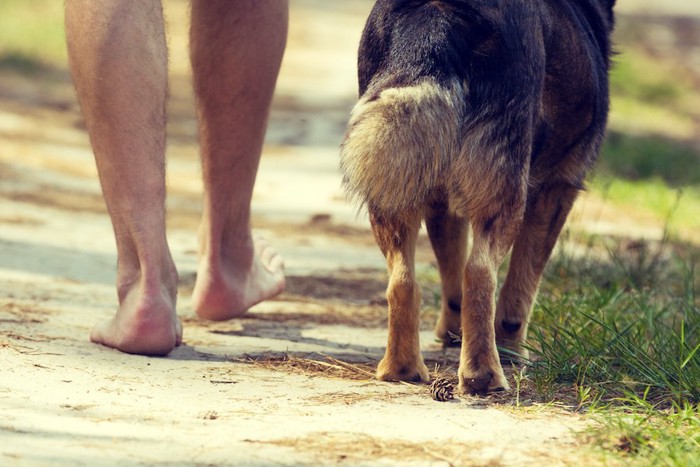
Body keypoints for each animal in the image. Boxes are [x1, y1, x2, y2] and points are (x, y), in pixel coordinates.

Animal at [342, 0, 616, 394]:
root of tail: (441, 15)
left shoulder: (441, 201)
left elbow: (450, 270)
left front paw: (453, 331)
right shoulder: (557, 189)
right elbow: (521, 286)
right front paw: (513, 349)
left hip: (392, 181)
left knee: (403, 280)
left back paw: (401, 368)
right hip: (505, 192)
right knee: (480, 274)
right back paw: (484, 374)